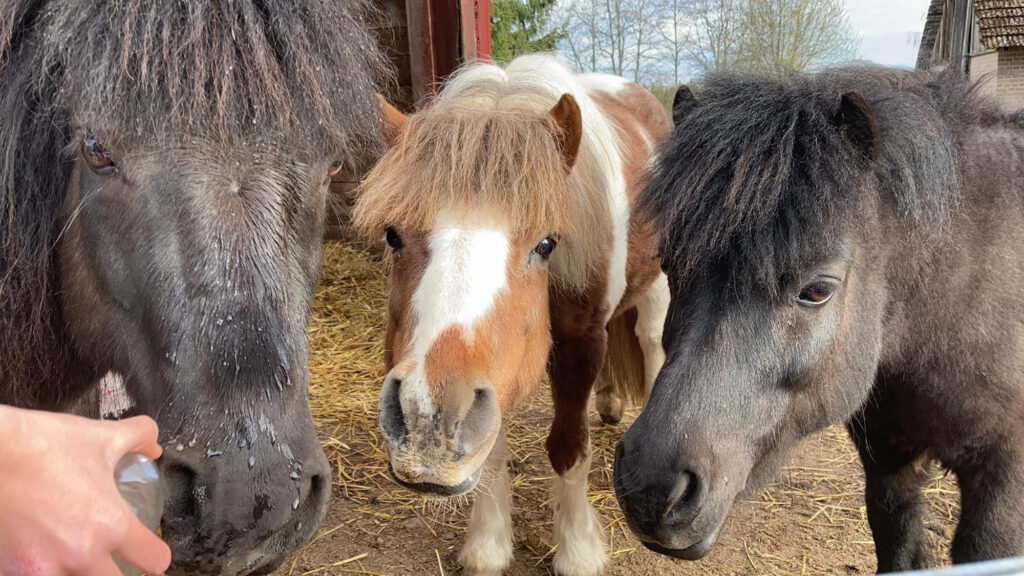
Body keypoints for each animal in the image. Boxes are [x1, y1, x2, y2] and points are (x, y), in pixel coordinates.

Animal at [354, 54, 671, 573]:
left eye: (546, 243)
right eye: (392, 234)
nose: (427, 424)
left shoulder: (580, 343)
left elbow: (568, 449)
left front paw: (577, 550)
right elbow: (493, 449)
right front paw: (488, 545)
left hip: (658, 283)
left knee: (651, 341)